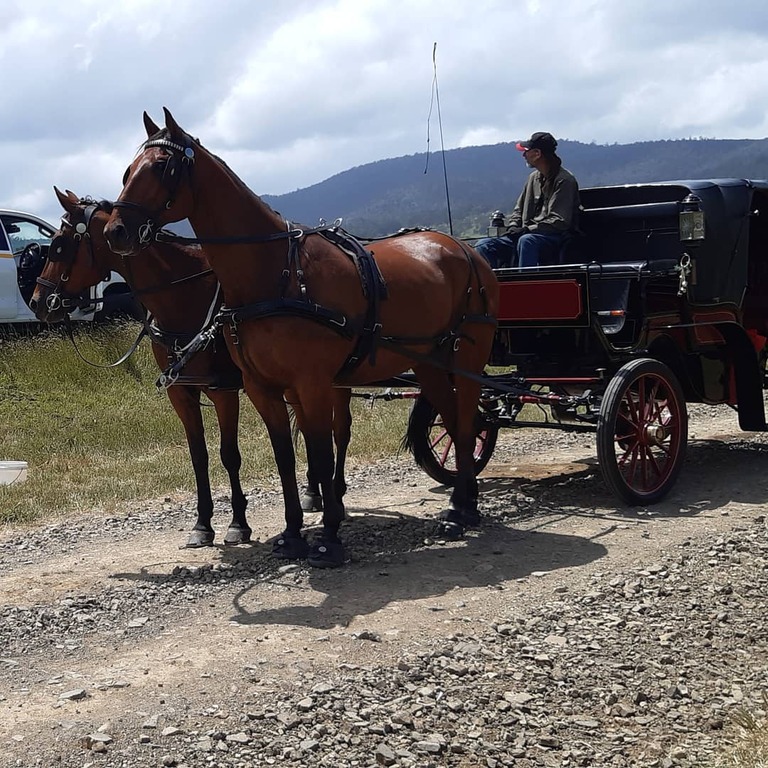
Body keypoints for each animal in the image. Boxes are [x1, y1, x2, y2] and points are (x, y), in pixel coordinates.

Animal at [31, 188, 352, 546]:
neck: (184, 298)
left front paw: (237, 523)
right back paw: (313, 493)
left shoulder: (224, 391)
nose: (38, 302)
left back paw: (334, 496)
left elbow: (229, 455)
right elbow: (199, 456)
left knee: (339, 430)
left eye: (60, 244)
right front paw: (202, 523)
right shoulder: (182, 393)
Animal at [104, 108, 499, 568]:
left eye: (161, 167)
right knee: (454, 423)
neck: (276, 271)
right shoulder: (262, 388)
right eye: (127, 170)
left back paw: (461, 509)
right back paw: (463, 505)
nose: (116, 231)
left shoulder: (312, 385)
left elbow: (321, 455)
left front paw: (328, 537)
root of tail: (464, 249)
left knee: (468, 422)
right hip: (428, 361)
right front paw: (293, 534)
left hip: (466, 358)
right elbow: (286, 459)